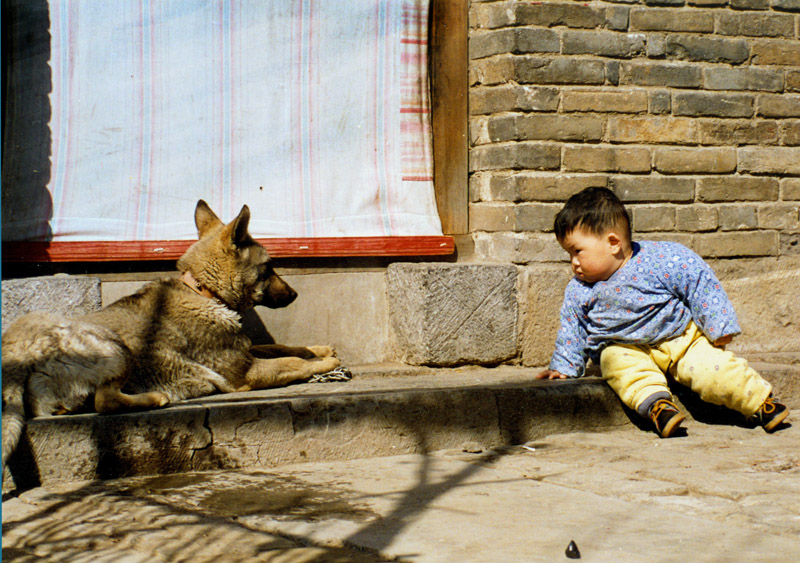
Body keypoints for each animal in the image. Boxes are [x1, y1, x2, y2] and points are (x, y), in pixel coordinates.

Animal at [0, 200, 340, 474]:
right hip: (117, 348)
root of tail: (18, 355)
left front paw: (319, 349)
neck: (204, 290)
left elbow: (279, 346)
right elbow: (291, 362)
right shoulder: (245, 373)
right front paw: (324, 364)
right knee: (105, 400)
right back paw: (154, 398)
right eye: (268, 268)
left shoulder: (246, 351)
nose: (295, 294)